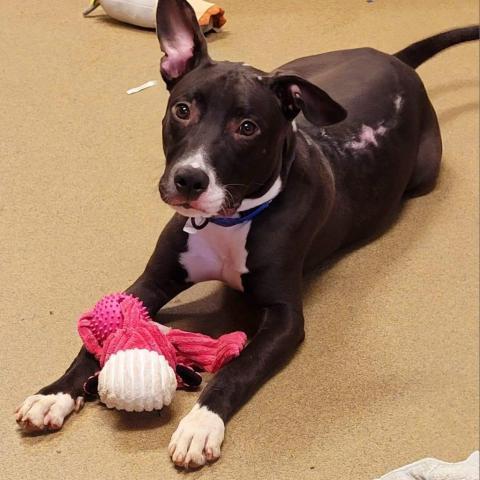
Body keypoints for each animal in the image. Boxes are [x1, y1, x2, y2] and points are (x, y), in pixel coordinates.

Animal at [15, 0, 480, 468]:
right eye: (182, 110)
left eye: (247, 127)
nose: (189, 179)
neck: (228, 221)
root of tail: (394, 61)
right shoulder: (150, 282)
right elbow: (97, 336)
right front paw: (54, 394)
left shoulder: (285, 318)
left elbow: (238, 369)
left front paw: (200, 425)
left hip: (423, 173)